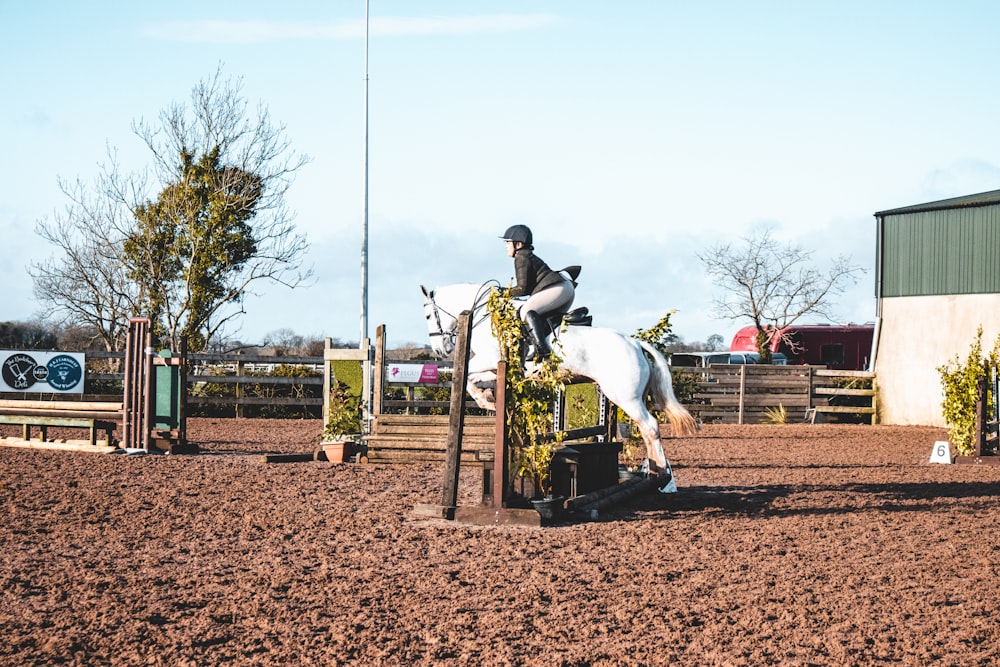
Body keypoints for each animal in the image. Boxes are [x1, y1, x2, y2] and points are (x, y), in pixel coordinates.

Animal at [420, 282, 696, 480]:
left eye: (427, 316)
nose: (440, 351)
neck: (486, 317)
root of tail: (635, 343)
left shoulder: (489, 358)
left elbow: (466, 376)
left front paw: (486, 401)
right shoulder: (494, 367)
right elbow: (475, 378)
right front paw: (488, 398)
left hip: (624, 396)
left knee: (650, 426)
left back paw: (660, 472)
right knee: (647, 429)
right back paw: (654, 470)